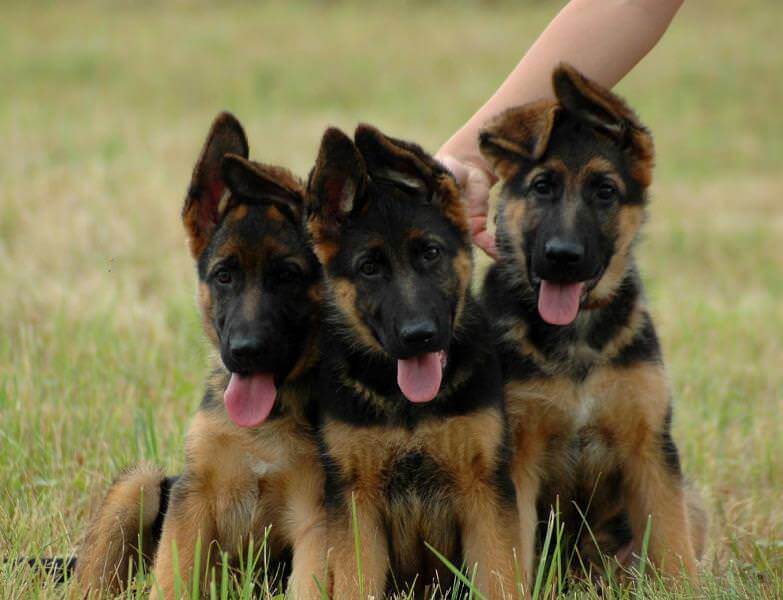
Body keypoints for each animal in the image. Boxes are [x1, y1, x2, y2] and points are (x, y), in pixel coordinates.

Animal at [77, 113, 327, 599]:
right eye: (224, 275)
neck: (265, 424)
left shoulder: (318, 516)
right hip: (140, 483)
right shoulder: (193, 501)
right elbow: (173, 580)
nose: (245, 352)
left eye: (288, 277)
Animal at [305, 124, 519, 599]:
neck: (407, 407)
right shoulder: (356, 502)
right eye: (369, 268)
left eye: (431, 253)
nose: (418, 336)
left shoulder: (484, 490)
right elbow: (357, 584)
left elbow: (499, 578)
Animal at [478, 64, 706, 581]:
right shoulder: (517, 459)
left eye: (605, 192)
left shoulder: (651, 449)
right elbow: (512, 556)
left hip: (689, 502)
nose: (562, 258)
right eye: (542, 186)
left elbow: (673, 545)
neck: (577, 336)